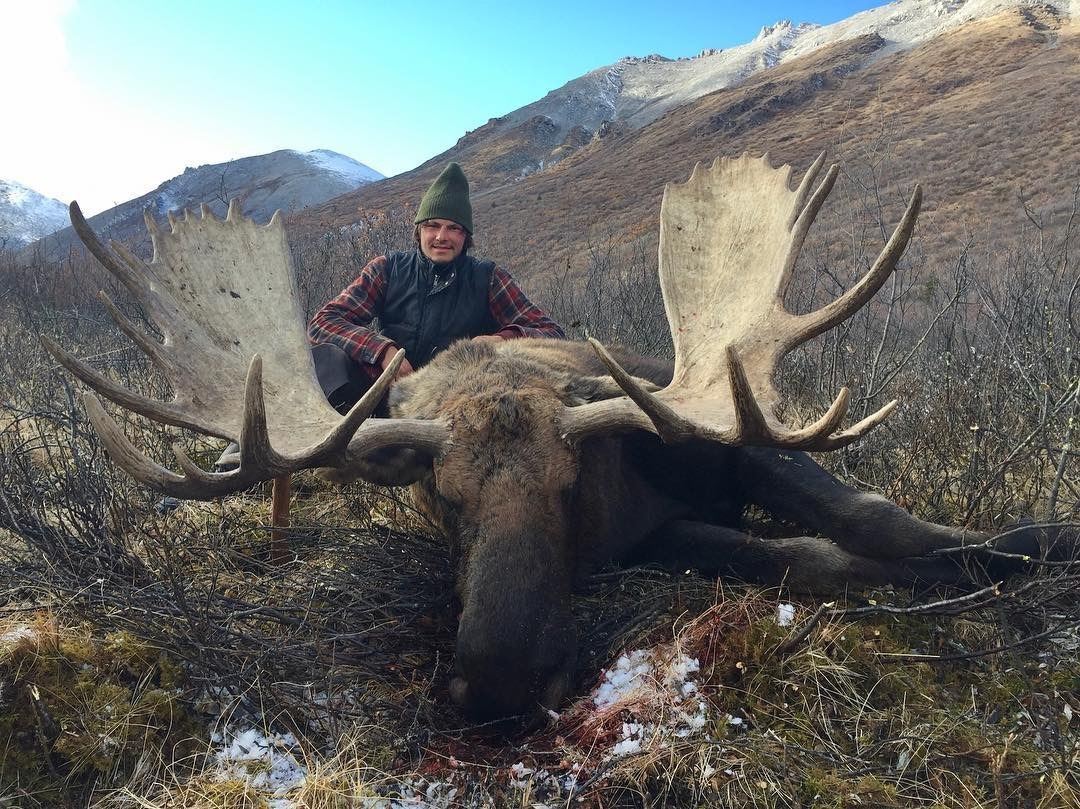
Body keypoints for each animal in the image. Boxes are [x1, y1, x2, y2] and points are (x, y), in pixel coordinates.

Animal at [43, 153, 1070, 721]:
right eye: (441, 499)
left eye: (571, 482)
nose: (499, 681)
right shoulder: (653, 536)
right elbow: (796, 555)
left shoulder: (719, 430)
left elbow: (878, 516)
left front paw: (1040, 542)